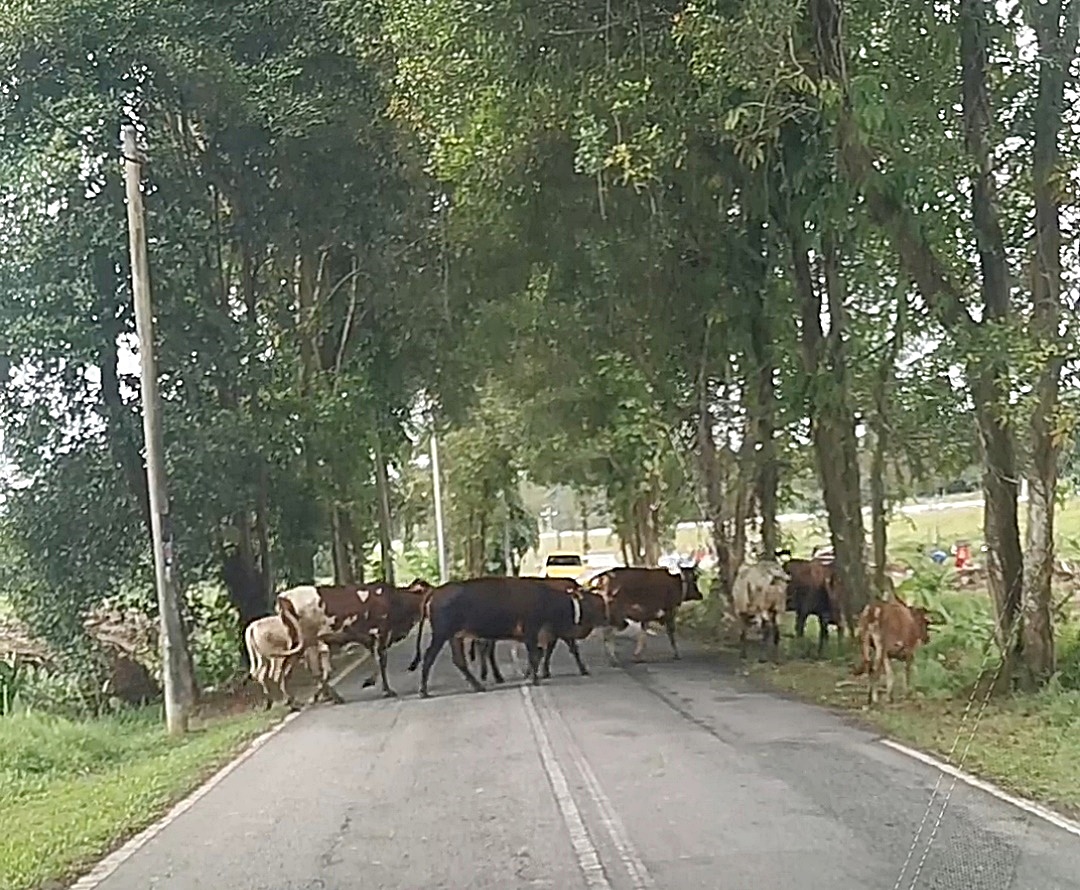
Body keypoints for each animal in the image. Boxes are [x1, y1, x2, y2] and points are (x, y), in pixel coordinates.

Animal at [406, 574, 591, 699]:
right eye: (566, 609)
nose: (579, 629)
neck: (545, 598)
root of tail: (435, 591)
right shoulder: (531, 632)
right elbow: (535, 655)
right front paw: (535, 679)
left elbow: (537, 654)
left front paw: (532, 676)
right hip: (441, 635)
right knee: (429, 657)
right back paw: (423, 691)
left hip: (454, 637)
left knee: (459, 660)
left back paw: (479, 686)